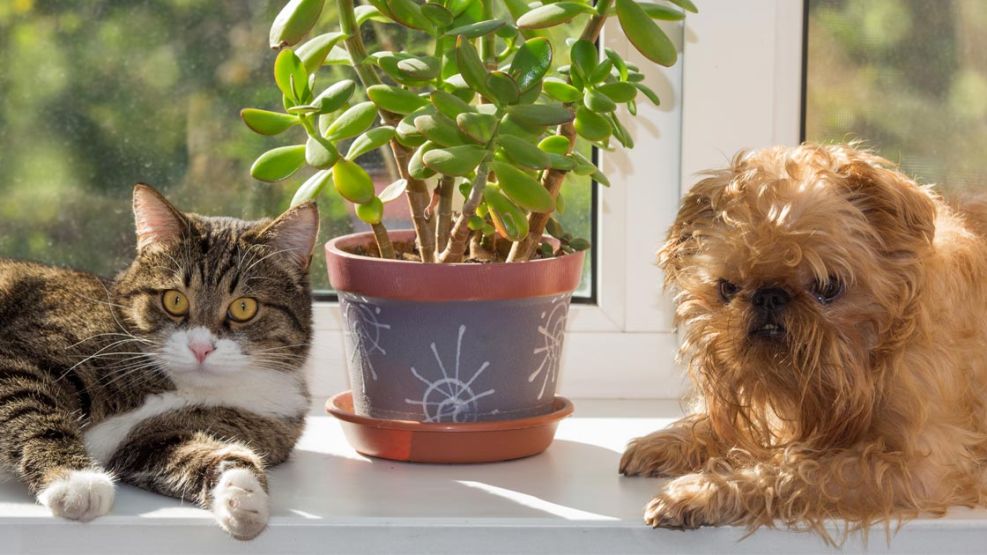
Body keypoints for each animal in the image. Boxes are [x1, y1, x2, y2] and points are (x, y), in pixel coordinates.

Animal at [0, 185, 318, 540]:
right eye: (174, 300)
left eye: (244, 307)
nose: (200, 348)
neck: (184, 386)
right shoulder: (22, 353)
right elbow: (30, 406)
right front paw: (74, 480)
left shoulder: (152, 440)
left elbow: (196, 453)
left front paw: (243, 494)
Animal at [620, 142, 987, 540]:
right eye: (727, 288)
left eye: (828, 286)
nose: (768, 296)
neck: (877, 354)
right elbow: (721, 425)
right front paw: (667, 442)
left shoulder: (918, 469)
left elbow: (802, 472)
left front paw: (701, 492)